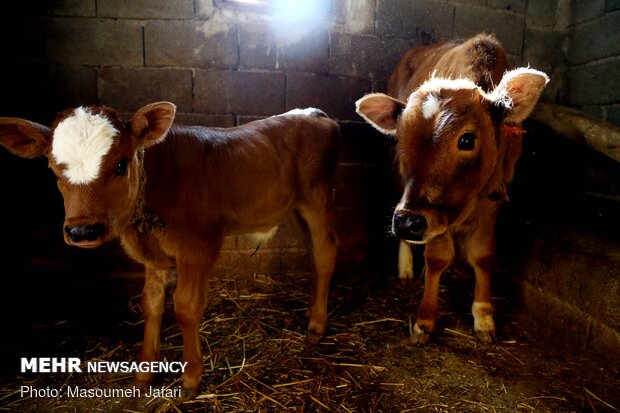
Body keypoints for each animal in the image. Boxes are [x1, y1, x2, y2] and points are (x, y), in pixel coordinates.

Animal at [0, 104, 340, 398]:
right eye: (53, 170)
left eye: (121, 165)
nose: (83, 231)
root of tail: (312, 113)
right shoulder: (154, 257)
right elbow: (151, 304)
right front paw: (144, 374)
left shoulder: (197, 246)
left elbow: (186, 308)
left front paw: (191, 378)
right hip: (294, 207)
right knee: (313, 252)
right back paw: (312, 310)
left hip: (318, 197)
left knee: (325, 252)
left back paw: (317, 325)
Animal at [354, 34, 548, 344]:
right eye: (401, 138)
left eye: (467, 139)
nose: (406, 223)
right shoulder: (433, 213)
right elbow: (436, 258)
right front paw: (425, 320)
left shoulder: (493, 201)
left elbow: (483, 256)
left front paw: (483, 316)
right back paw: (405, 267)